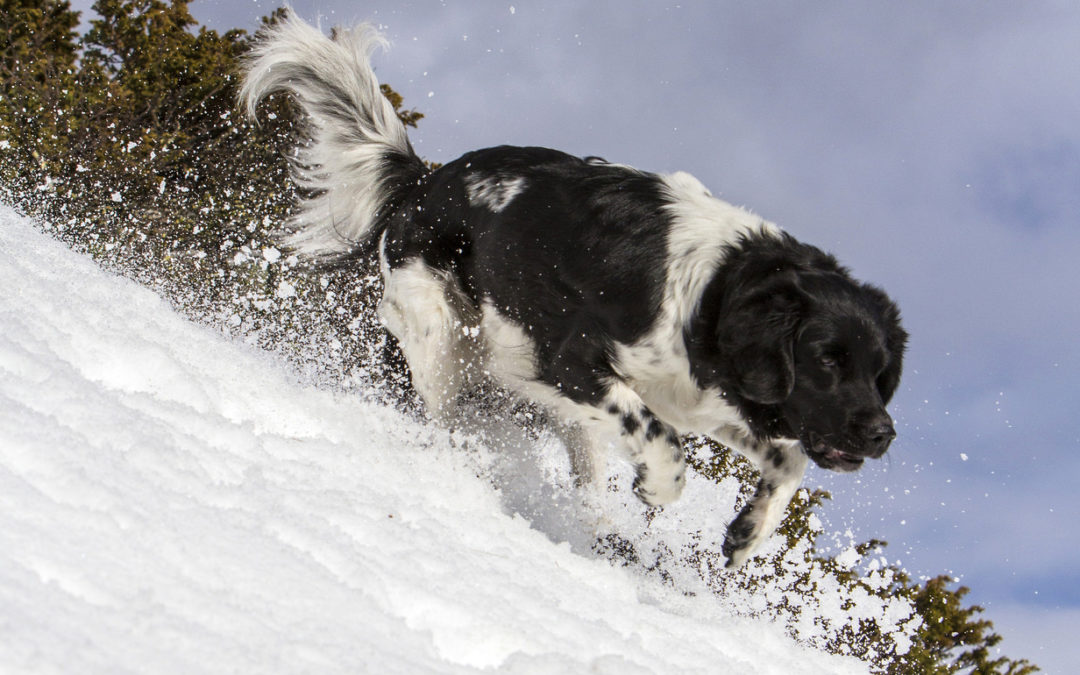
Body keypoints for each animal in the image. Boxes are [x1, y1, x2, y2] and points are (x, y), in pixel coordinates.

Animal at [240, 11, 907, 570]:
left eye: (880, 373)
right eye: (826, 360)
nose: (883, 433)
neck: (718, 288)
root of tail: (423, 181)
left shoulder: (697, 399)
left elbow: (787, 458)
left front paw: (746, 534)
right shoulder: (573, 361)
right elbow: (665, 446)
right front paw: (660, 487)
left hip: (545, 397)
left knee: (587, 484)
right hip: (442, 341)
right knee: (446, 420)